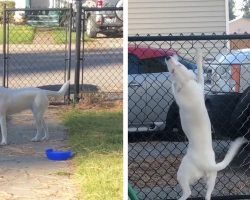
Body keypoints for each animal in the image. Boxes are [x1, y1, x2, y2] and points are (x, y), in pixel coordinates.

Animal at [166, 51, 246, 200]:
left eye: (176, 68)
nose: (168, 57)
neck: (187, 84)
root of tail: (206, 164)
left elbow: (175, 88)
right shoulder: (200, 85)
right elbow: (199, 71)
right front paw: (199, 55)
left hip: (182, 174)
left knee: (188, 192)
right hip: (212, 179)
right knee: (208, 194)